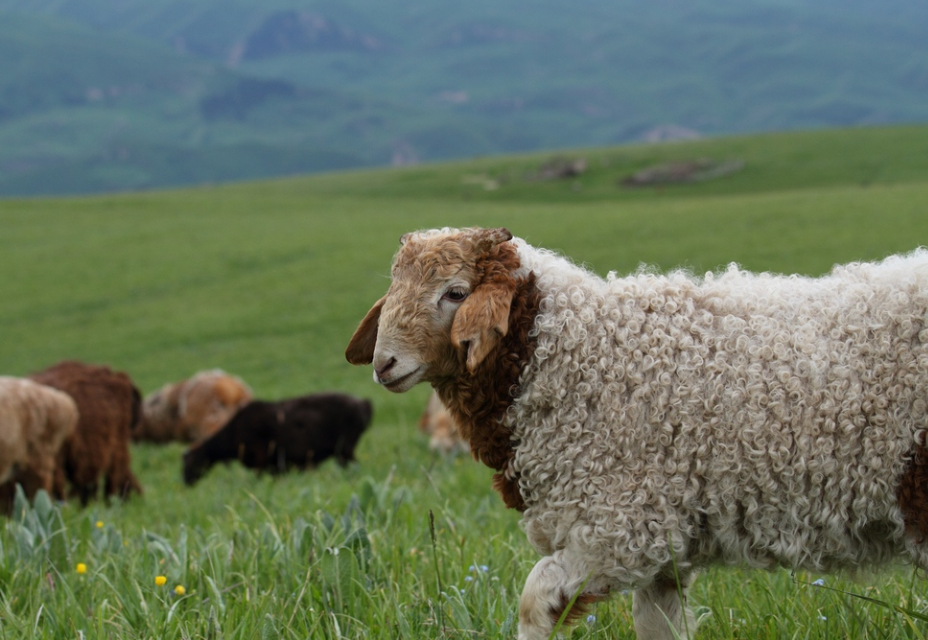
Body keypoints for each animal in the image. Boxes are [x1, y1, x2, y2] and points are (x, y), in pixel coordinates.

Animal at [183, 390, 372, 484]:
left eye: (191, 462)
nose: (185, 481)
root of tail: (363, 403)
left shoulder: (261, 459)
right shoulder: (274, 465)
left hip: (345, 449)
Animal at [346, 226, 928, 640]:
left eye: (455, 293)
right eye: (393, 290)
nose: (384, 364)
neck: (570, 355)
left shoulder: (621, 529)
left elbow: (534, 600)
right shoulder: (665, 548)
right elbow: (656, 626)